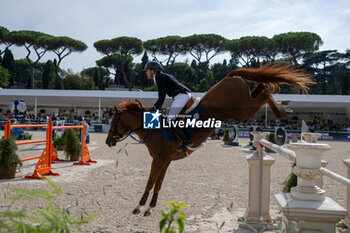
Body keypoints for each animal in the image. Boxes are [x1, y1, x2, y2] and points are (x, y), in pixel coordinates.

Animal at [105, 64, 314, 217]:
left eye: (114, 121)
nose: (108, 142)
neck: (152, 129)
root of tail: (230, 76)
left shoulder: (158, 160)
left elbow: (150, 182)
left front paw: (139, 206)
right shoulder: (165, 161)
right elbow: (158, 183)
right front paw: (150, 207)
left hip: (241, 110)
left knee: (265, 93)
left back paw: (282, 108)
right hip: (243, 107)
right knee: (262, 90)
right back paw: (282, 107)